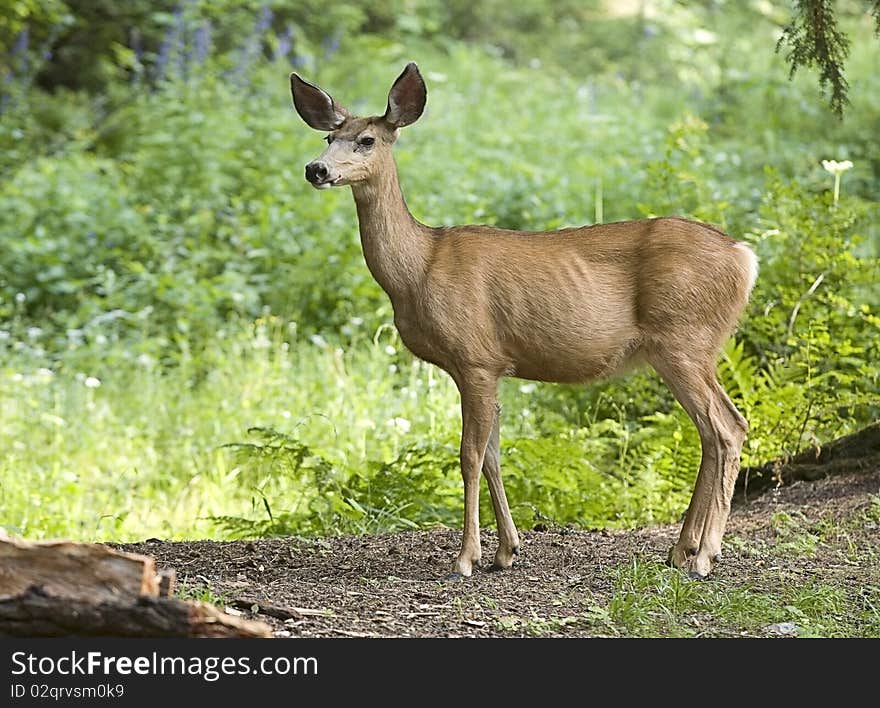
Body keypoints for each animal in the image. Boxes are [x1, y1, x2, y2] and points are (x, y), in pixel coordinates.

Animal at [288, 62, 756, 580]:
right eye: (330, 136)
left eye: (367, 139)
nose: (315, 169)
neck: (418, 269)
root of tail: (745, 257)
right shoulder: (492, 366)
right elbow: (494, 455)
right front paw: (506, 550)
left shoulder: (474, 358)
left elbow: (469, 456)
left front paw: (465, 558)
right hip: (682, 348)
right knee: (711, 432)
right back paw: (680, 549)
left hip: (685, 339)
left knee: (728, 427)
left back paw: (705, 556)